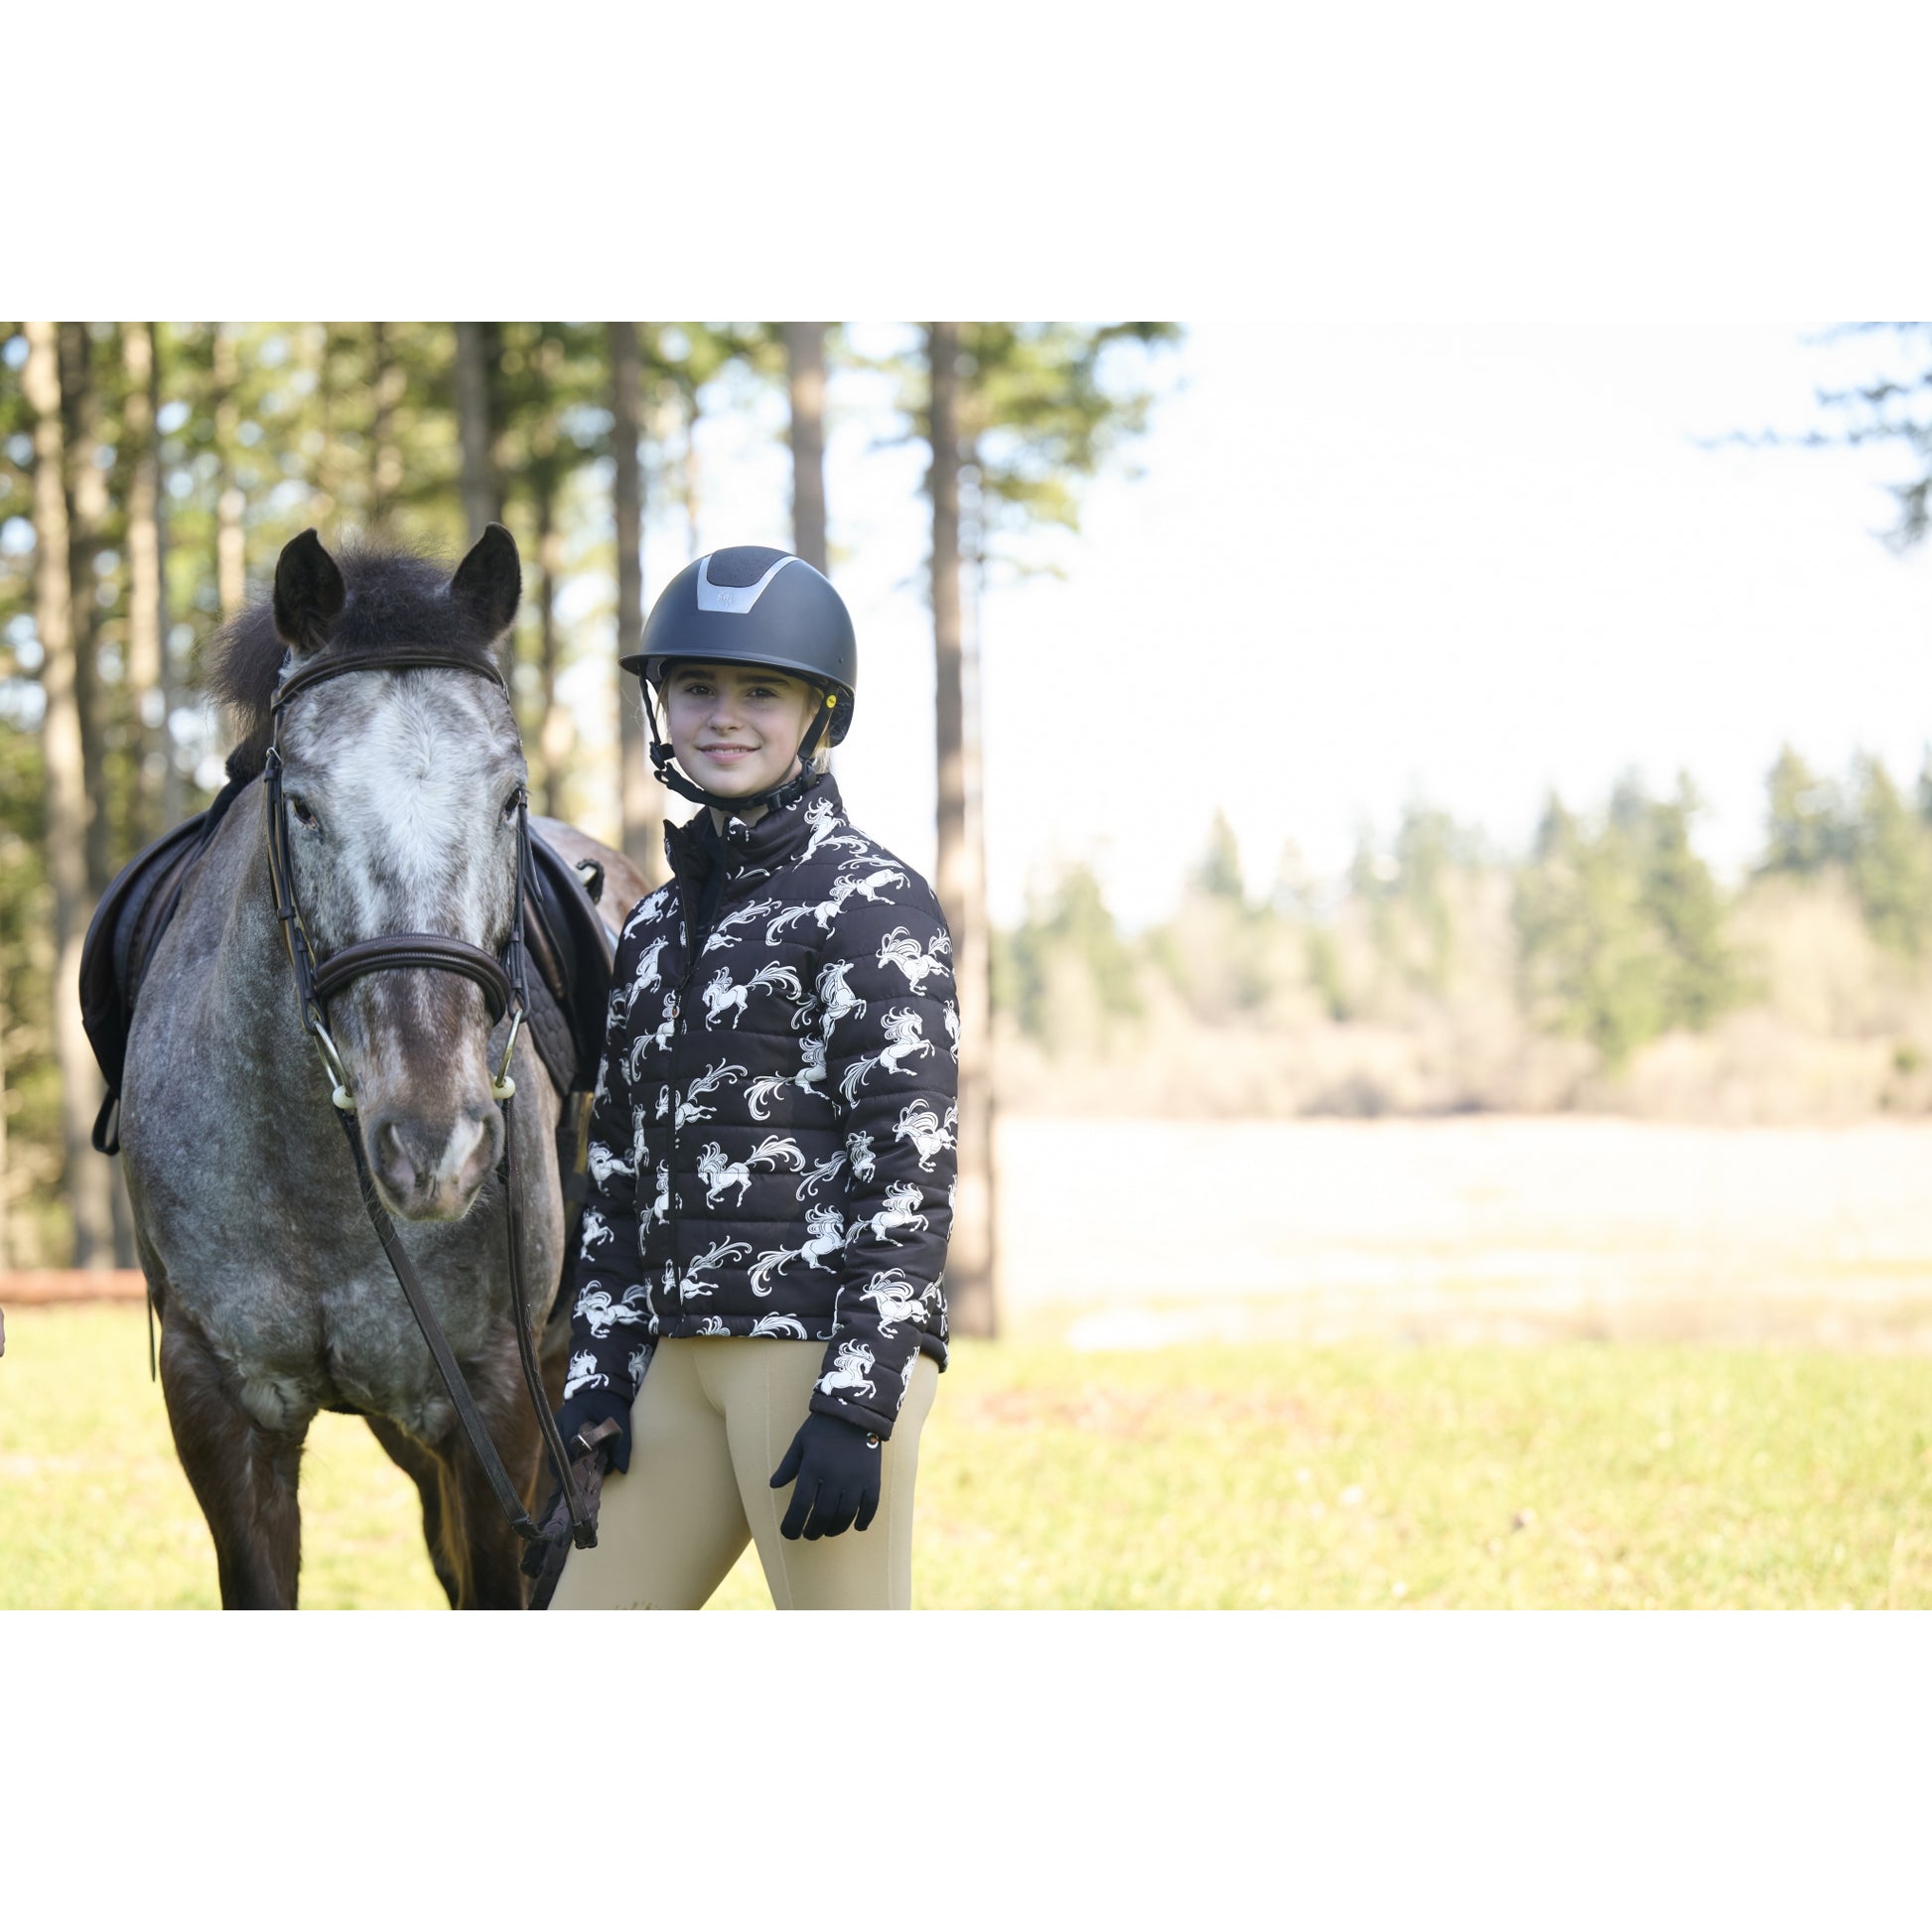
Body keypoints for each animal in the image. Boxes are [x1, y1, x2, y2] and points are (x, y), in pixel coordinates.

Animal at [117, 527, 645, 1609]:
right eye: (303, 805)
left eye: (510, 797)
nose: (435, 1141)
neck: (319, 1186)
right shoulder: (218, 1403)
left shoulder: (495, 1399)